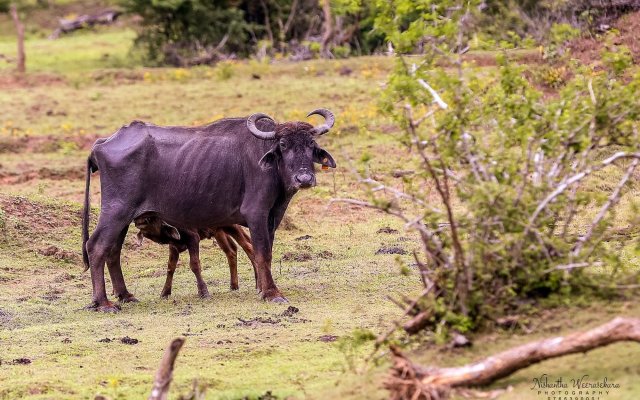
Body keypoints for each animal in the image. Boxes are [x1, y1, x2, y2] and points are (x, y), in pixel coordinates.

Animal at [82, 109, 338, 312]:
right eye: (283, 145)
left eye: (311, 145)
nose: (304, 179)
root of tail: (102, 143)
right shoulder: (257, 215)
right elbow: (262, 252)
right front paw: (272, 294)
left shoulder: (272, 218)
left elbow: (266, 252)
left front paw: (263, 289)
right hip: (116, 211)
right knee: (96, 246)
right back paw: (103, 303)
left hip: (125, 217)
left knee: (113, 250)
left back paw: (125, 295)